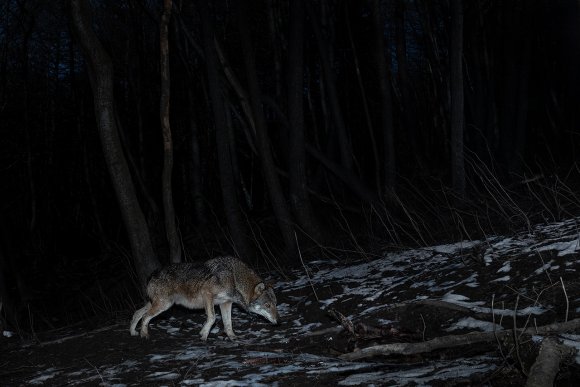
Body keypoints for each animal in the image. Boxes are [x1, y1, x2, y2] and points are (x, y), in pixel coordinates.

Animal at [129, 256, 278, 342]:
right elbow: (212, 318)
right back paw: (144, 334)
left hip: (157, 304)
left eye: (275, 304)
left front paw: (233, 337)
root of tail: (152, 274)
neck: (234, 278)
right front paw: (204, 335)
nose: (278, 321)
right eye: (268, 305)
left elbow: (228, 323)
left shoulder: (226, 303)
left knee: (137, 313)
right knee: (145, 317)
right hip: (164, 305)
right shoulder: (207, 295)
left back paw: (133, 332)